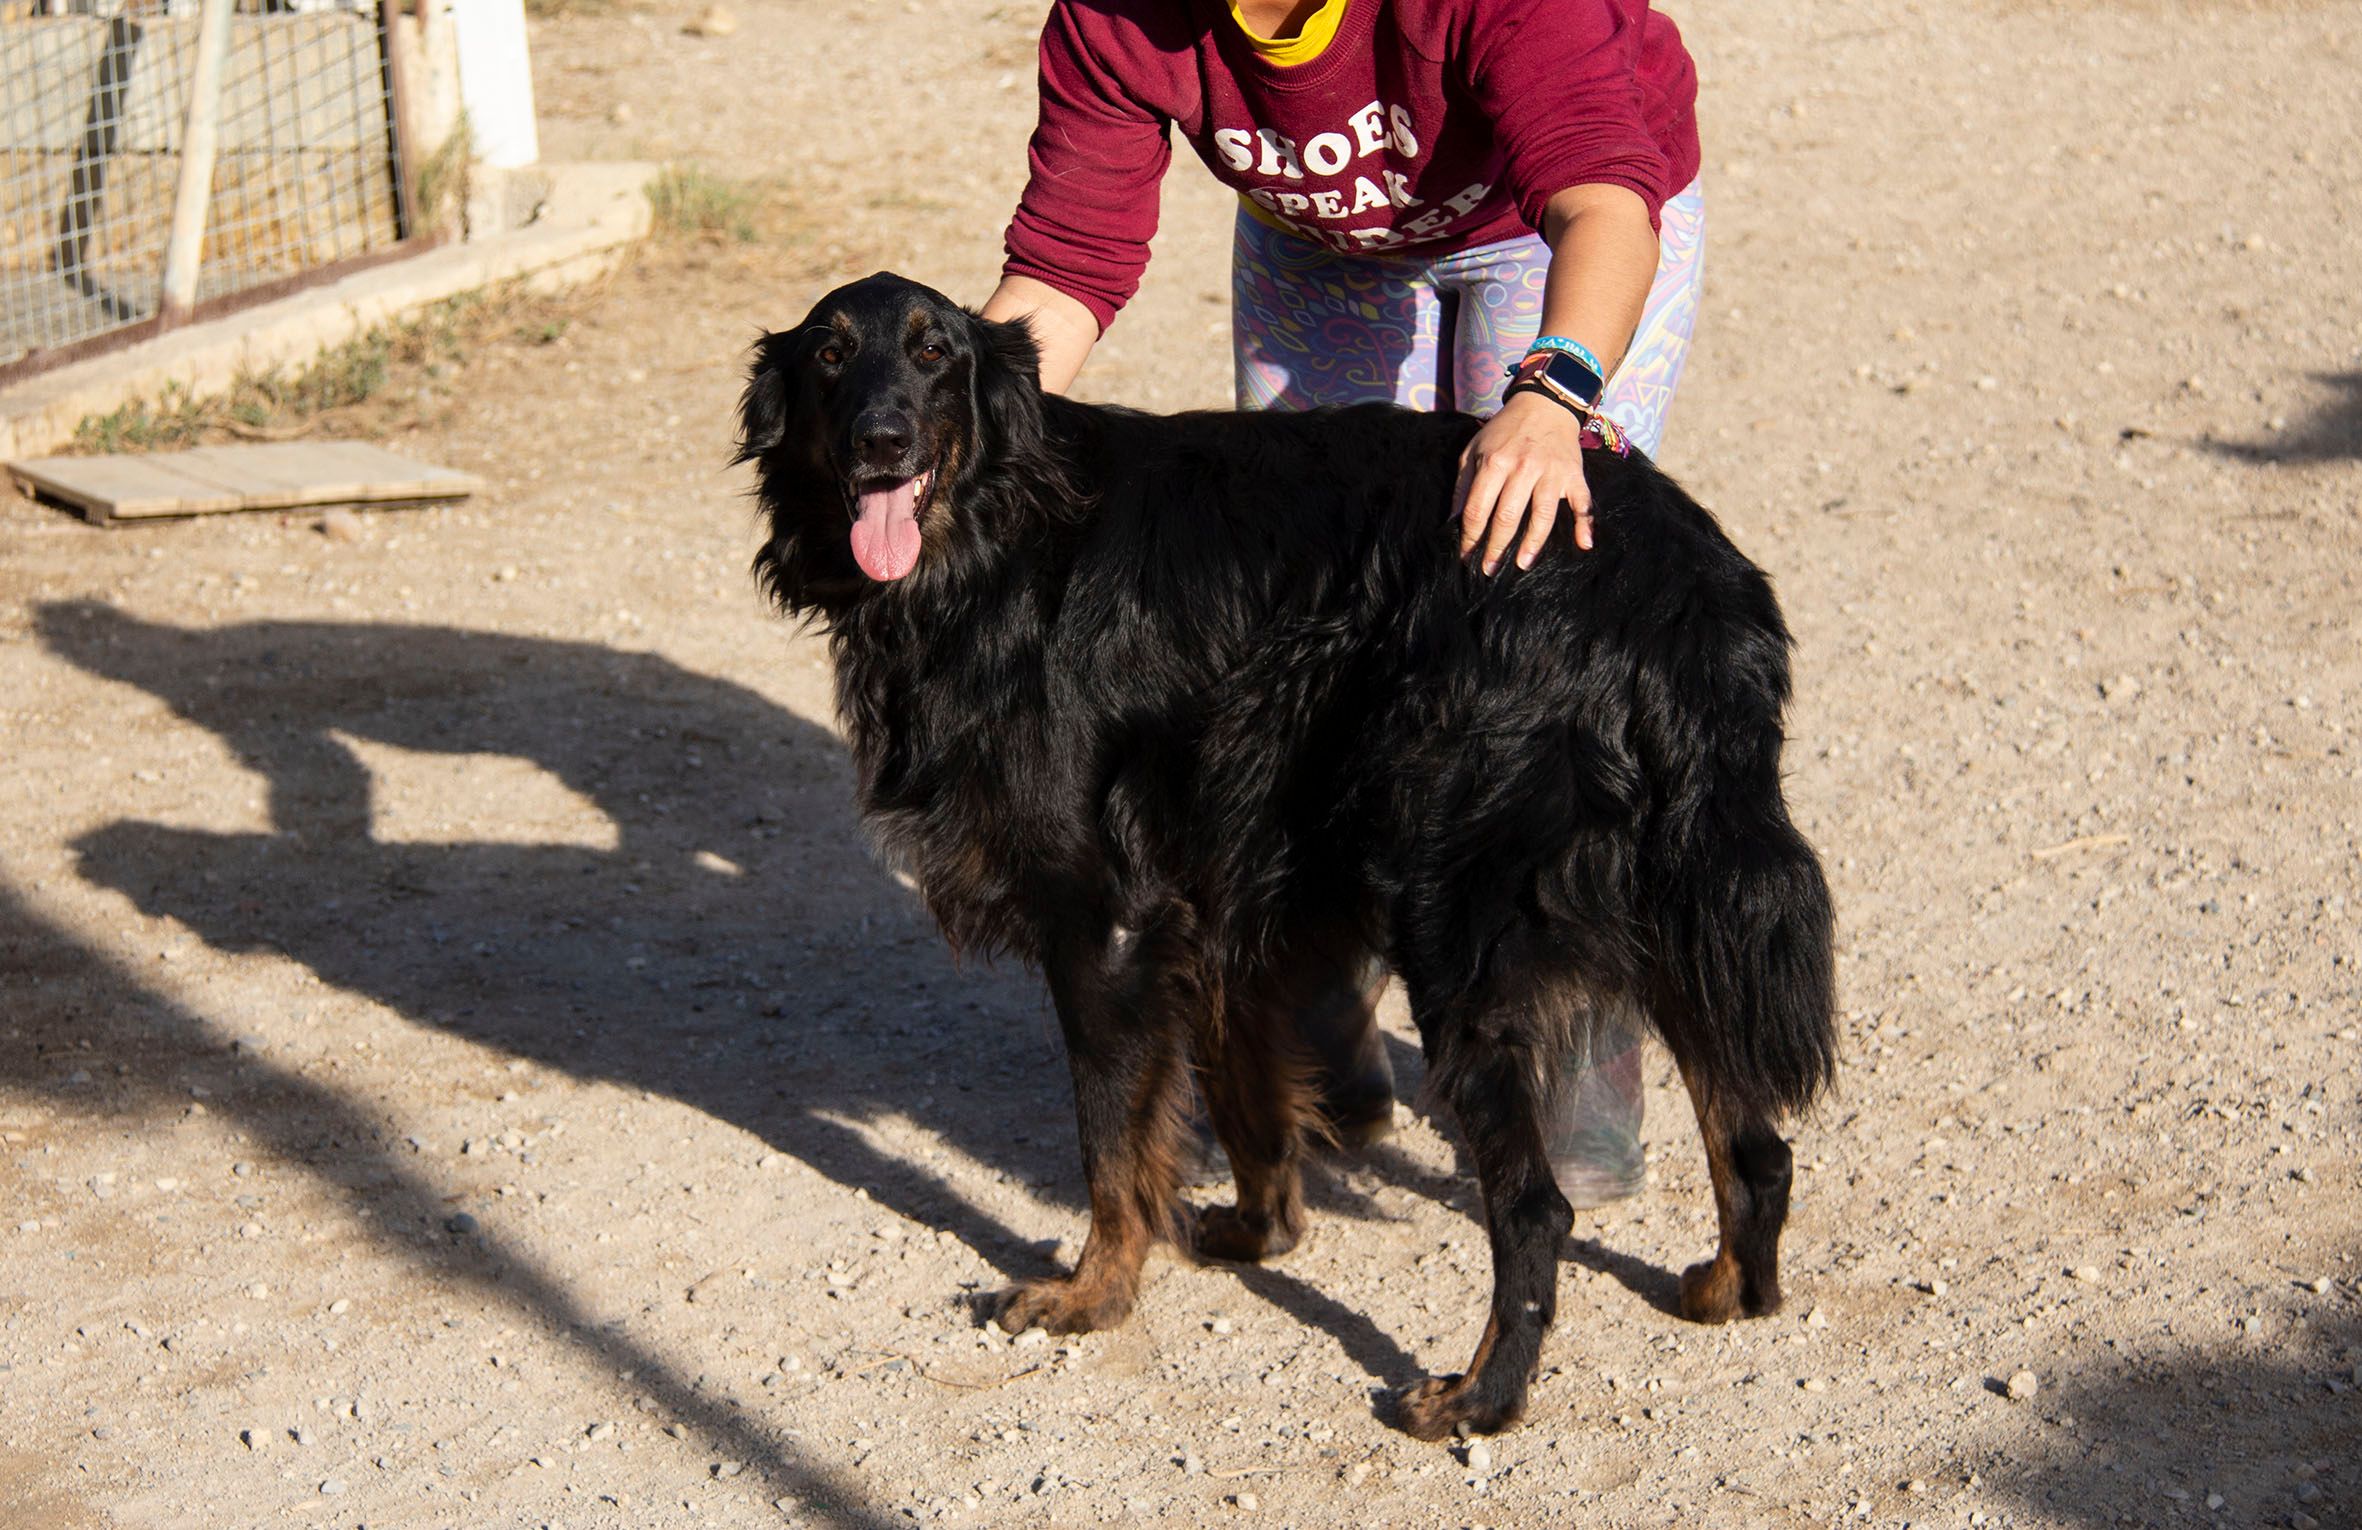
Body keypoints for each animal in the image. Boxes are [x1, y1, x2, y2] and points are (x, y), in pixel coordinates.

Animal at [736, 272, 1836, 1439]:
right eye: (829, 356)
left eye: (934, 351)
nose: (881, 443)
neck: (996, 540)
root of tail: (1679, 584)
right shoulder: (1211, 895)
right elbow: (1243, 1089)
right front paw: (1257, 1233)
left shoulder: (1104, 920)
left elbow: (1110, 1147)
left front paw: (1095, 1293)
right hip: (1669, 894)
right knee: (1756, 1143)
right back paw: (1732, 1288)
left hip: (1457, 922)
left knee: (1538, 1208)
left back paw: (1479, 1397)